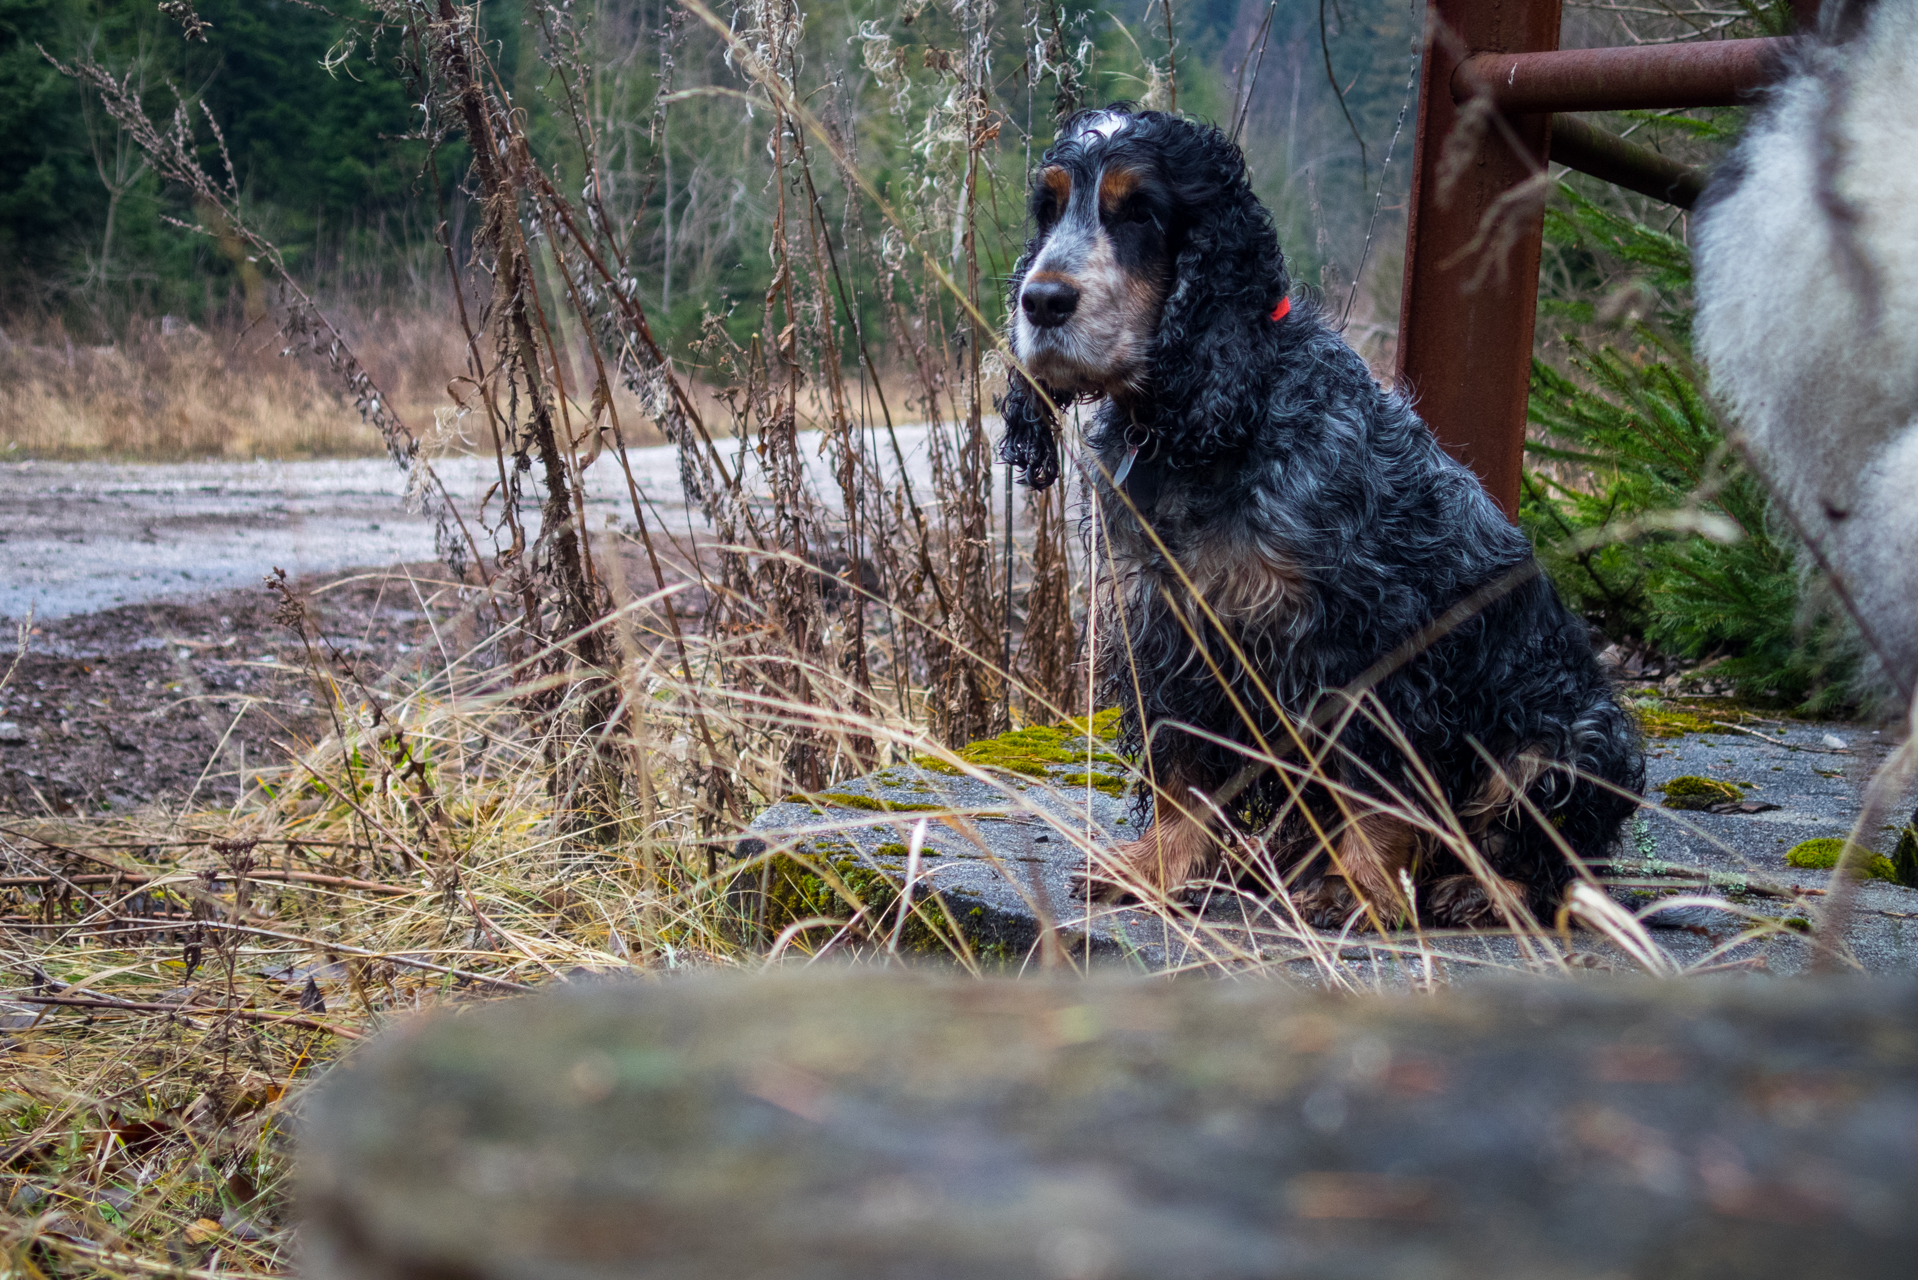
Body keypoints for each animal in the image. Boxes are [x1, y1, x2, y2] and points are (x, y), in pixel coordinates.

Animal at [997, 110, 1641, 924]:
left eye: (1139, 211)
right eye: (1047, 209)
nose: (1042, 301)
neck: (1198, 429)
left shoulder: (1367, 643)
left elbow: (1374, 784)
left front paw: (1356, 886)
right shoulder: (1170, 631)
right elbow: (1181, 774)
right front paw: (1158, 868)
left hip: (1570, 741)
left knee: (1558, 859)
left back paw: (1478, 887)